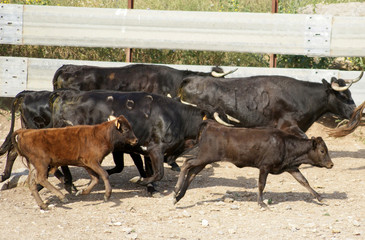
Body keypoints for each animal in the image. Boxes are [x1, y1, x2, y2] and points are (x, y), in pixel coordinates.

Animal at [48, 90, 205, 186]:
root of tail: (65, 93)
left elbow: (129, 167)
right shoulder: (155, 149)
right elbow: (159, 173)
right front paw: (140, 180)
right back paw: (68, 183)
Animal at [173, 121, 332, 207]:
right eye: (322, 150)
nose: (331, 164)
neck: (285, 144)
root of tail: (211, 124)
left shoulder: (291, 167)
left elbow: (304, 181)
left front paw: (320, 197)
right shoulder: (264, 167)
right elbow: (261, 184)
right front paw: (261, 203)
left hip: (205, 160)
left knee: (192, 172)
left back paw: (178, 197)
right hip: (205, 157)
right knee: (187, 163)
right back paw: (176, 190)